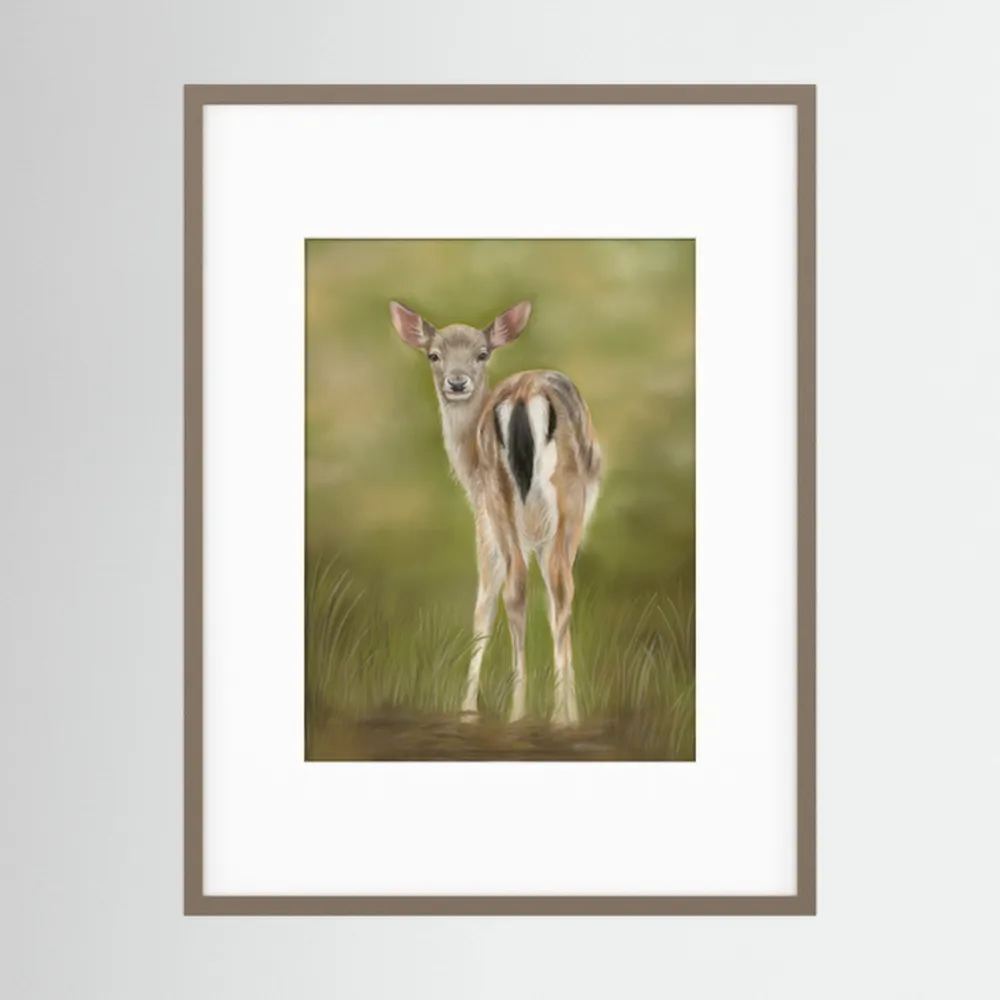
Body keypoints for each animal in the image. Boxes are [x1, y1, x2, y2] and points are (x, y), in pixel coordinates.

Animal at [389, 300, 602, 726]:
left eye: (482, 354)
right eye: (433, 354)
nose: (456, 383)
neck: (467, 467)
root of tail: (523, 395)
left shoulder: (493, 518)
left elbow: (492, 600)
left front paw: (468, 708)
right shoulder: (495, 521)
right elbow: (493, 601)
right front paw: (469, 708)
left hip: (510, 499)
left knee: (529, 586)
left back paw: (529, 712)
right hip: (548, 502)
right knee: (546, 586)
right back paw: (539, 714)